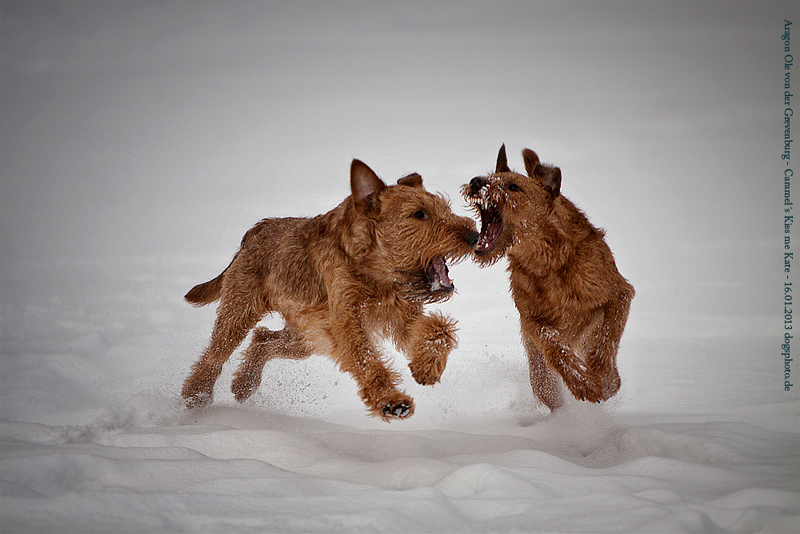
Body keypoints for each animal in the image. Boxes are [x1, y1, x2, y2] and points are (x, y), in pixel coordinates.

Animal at [460, 147, 636, 414]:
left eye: (513, 186)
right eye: (489, 177)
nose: (476, 182)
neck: (549, 261)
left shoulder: (620, 293)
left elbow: (608, 337)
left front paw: (604, 379)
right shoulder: (531, 320)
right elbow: (553, 344)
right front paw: (583, 383)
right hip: (540, 374)